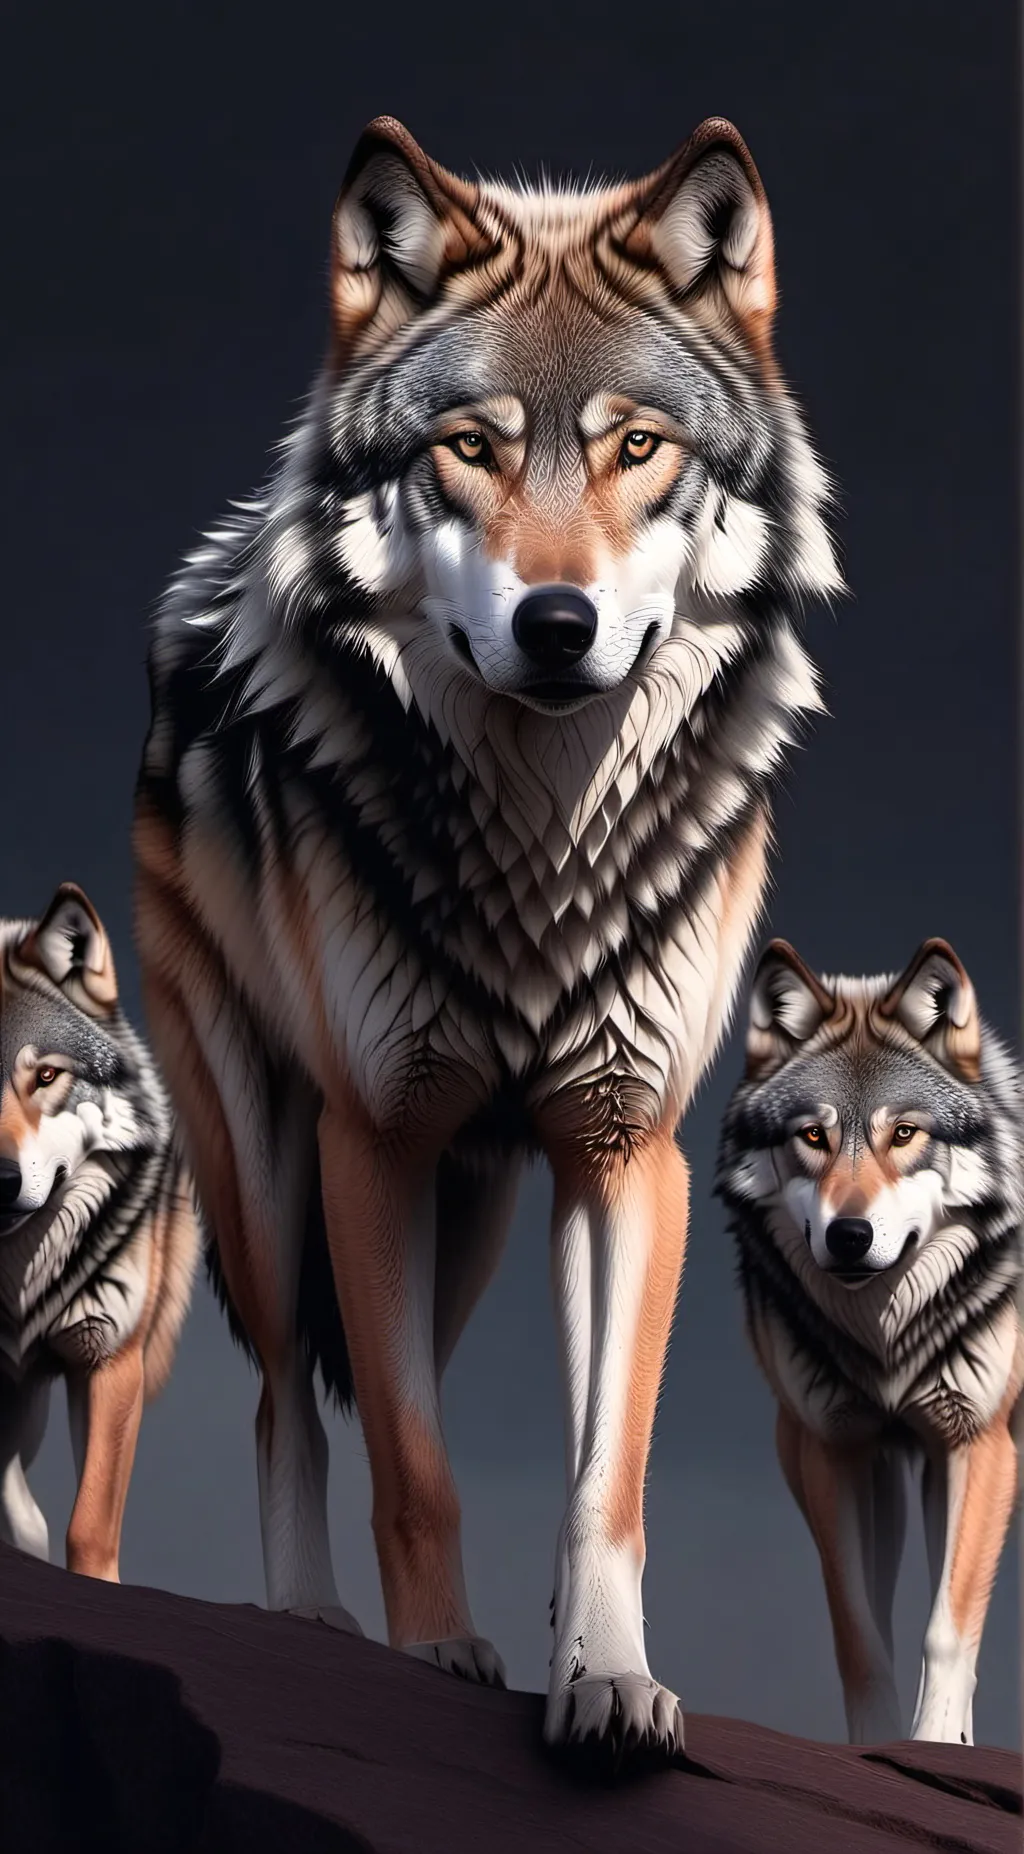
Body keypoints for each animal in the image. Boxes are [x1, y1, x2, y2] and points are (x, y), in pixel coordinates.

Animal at [134, 112, 842, 1766]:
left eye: (637, 448)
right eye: (471, 445)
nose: (558, 623)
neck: (542, 844)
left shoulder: (624, 1150)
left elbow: (605, 1479)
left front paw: (609, 1680)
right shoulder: (373, 1139)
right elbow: (416, 1466)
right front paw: (439, 1656)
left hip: (478, 1224)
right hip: (270, 1171)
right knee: (284, 1393)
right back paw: (311, 1619)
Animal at [716, 936, 1024, 1746]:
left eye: (905, 1133)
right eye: (813, 1136)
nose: (849, 1235)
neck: (886, 1336)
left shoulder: (978, 1443)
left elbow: (948, 1628)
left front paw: (935, 1745)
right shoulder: (834, 1450)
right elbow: (859, 1636)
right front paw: (882, 1744)